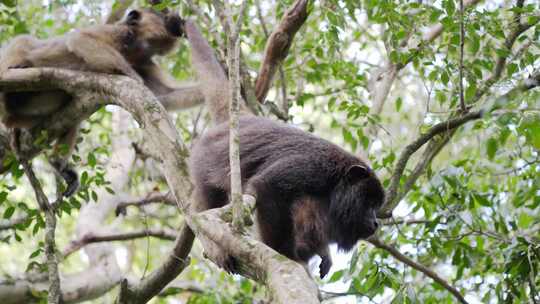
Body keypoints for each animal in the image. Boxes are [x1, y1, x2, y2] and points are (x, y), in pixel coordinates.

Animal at [0, 8, 186, 197]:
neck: (137, 47)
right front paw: (134, 77)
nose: (177, 18)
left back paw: (57, 162)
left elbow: (168, 95)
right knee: (23, 40)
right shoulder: (123, 32)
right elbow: (80, 39)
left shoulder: (144, 61)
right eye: (163, 13)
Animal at [190, 116, 384, 278]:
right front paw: (285, 253)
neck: (336, 179)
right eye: (369, 203)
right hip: (204, 164)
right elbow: (268, 186)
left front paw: (323, 252)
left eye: (376, 206)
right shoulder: (312, 166)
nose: (376, 223)